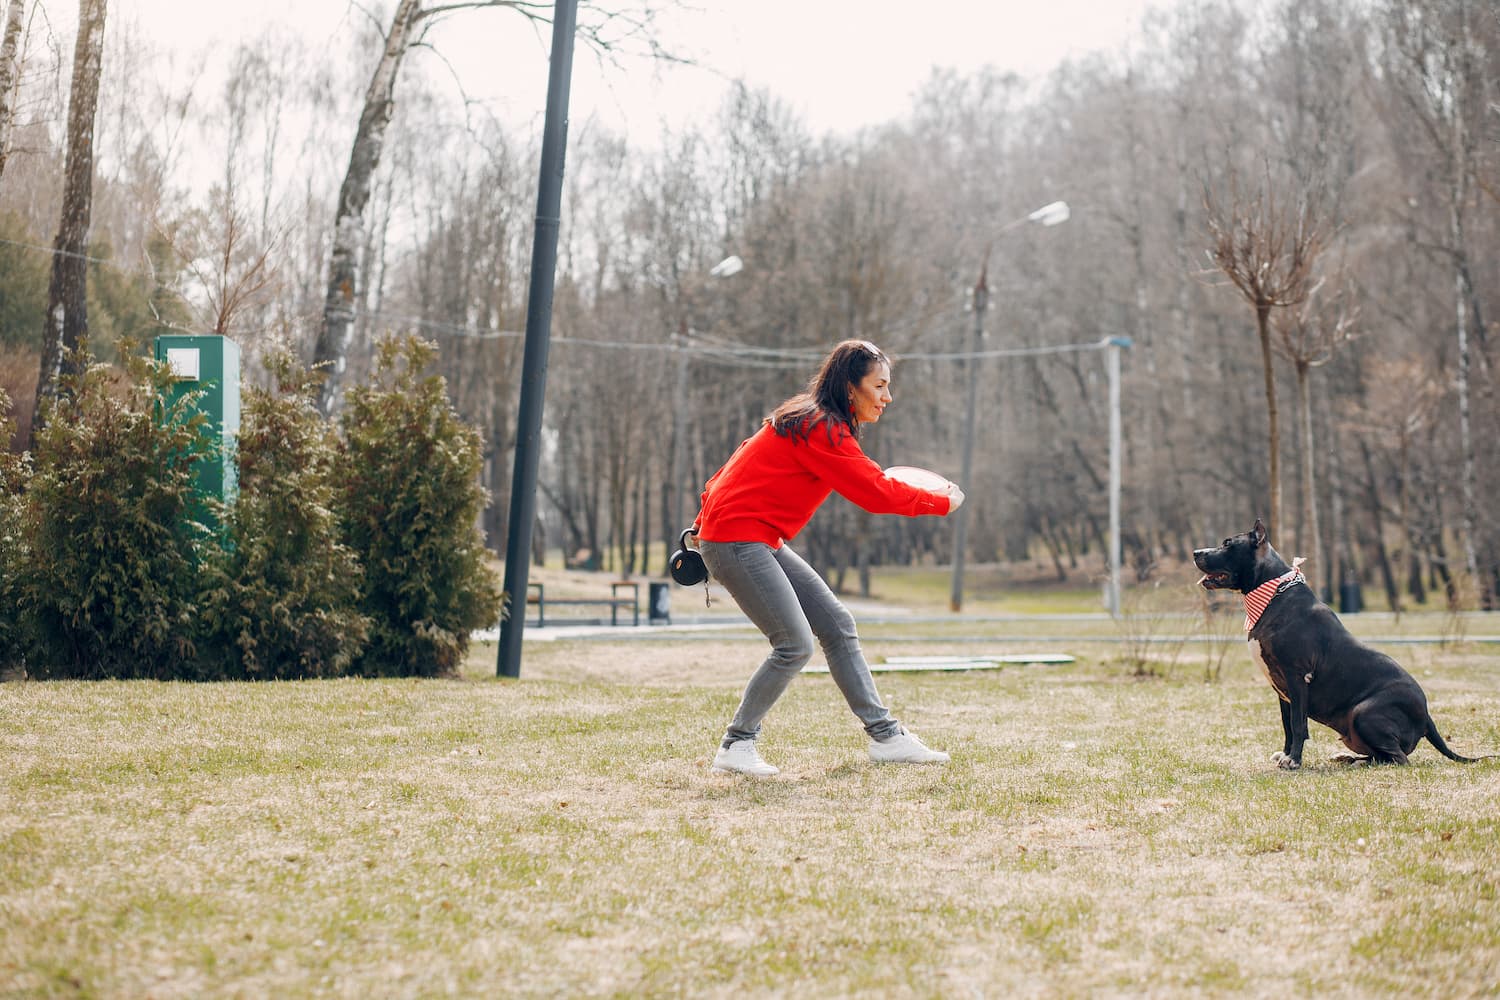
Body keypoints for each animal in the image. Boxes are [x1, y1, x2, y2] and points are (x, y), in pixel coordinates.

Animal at [1188, 521, 1482, 773]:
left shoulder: (1297, 677)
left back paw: (1357, 763)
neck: (1273, 595)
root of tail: (1427, 715)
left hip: (1364, 712)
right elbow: (1287, 725)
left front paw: (1294, 761)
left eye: (1227, 543)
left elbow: (1298, 723)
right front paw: (1286, 754)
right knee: (1382, 755)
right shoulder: (1282, 689)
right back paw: (1348, 758)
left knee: (1398, 759)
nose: (1195, 552)